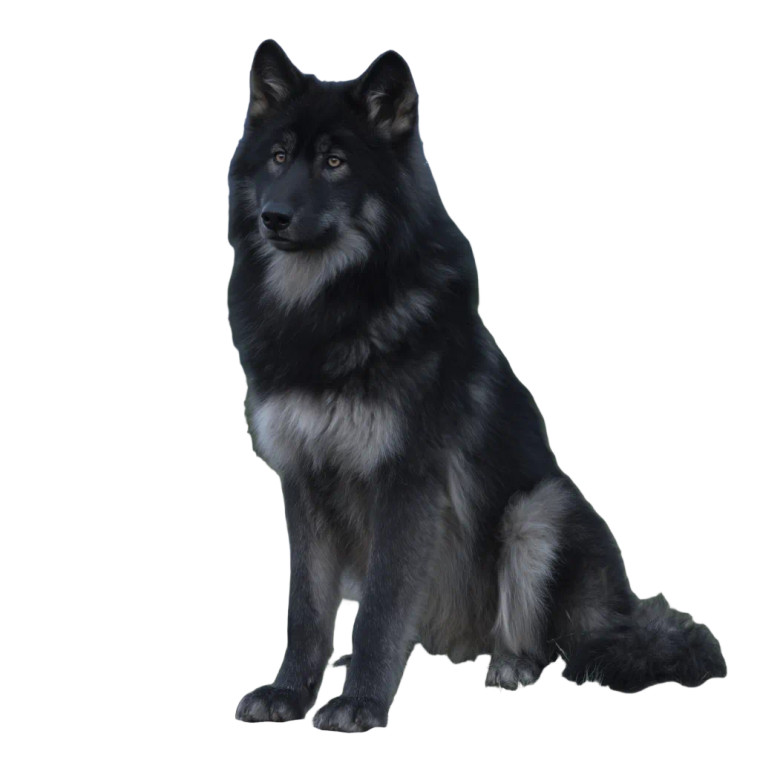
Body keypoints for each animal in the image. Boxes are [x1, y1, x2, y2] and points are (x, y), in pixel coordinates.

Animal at [227, 40, 726, 732]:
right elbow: (306, 611)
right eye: (278, 157)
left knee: (547, 642)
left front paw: (361, 705)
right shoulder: (303, 481)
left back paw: (509, 663)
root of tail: (624, 611)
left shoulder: (406, 483)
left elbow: (380, 610)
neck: (327, 312)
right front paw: (288, 694)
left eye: (334, 162)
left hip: (537, 508)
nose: (273, 217)